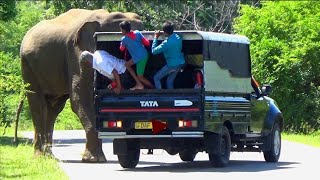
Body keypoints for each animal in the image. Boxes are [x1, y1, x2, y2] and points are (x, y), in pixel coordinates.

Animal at [19, 8, 144, 163]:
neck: (104, 17)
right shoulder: (75, 53)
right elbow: (81, 98)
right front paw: (94, 160)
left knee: (54, 107)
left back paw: (49, 156)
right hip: (27, 64)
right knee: (37, 102)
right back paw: (40, 157)